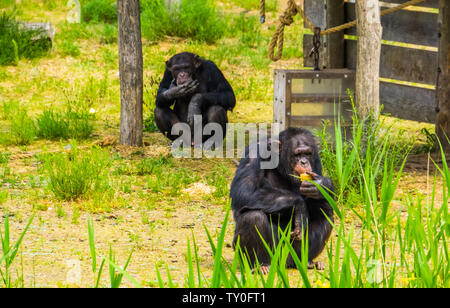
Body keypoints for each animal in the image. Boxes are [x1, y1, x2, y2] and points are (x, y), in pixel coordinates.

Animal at [230, 127, 332, 274]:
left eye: (307, 154)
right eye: (297, 154)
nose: (304, 162)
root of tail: (285, 262)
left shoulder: (316, 160)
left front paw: (320, 184)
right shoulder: (255, 153)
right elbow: (244, 191)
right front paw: (299, 207)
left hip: (293, 252)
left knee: (325, 214)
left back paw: (307, 262)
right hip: (269, 254)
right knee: (253, 217)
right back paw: (262, 265)